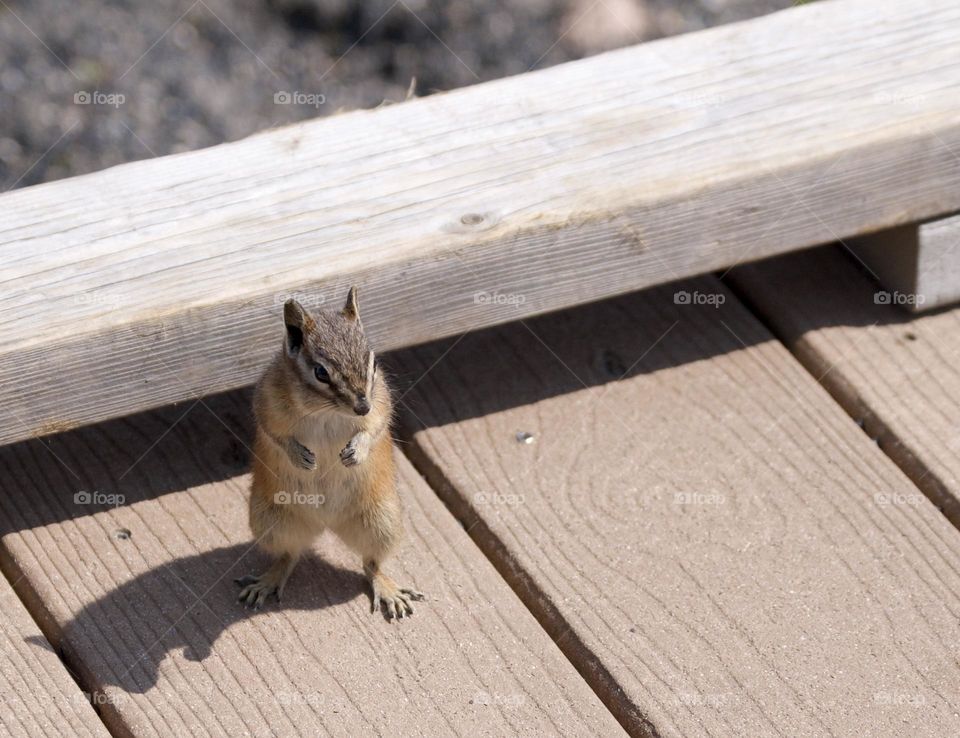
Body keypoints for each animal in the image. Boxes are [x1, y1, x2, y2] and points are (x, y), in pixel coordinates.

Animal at [235, 287, 424, 620]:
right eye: (321, 372)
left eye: (373, 363)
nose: (361, 406)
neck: (326, 411)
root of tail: (326, 524)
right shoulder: (267, 404)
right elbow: (276, 435)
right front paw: (300, 456)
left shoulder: (380, 401)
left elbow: (375, 425)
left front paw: (356, 452)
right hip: (271, 521)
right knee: (289, 554)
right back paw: (268, 580)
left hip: (382, 520)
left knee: (371, 562)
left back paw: (387, 588)